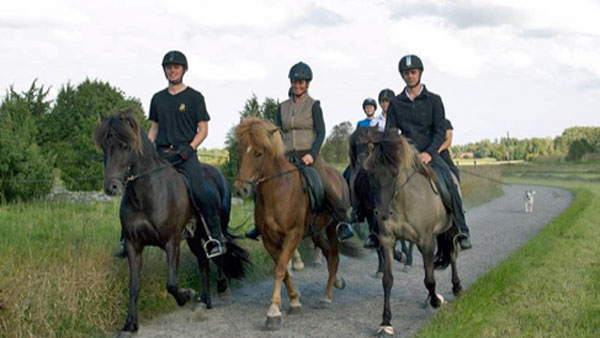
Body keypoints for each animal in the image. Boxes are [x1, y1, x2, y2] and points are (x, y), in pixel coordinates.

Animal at [95, 111, 250, 336]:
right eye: (104, 146)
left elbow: (171, 283)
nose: (111, 187)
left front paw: (186, 296)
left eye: (125, 146)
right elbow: (134, 286)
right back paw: (204, 300)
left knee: (219, 250)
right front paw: (130, 324)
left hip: (214, 227)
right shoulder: (133, 245)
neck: (146, 194)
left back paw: (221, 288)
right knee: (203, 262)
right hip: (194, 238)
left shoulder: (171, 242)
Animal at [231, 117, 364, 332]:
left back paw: (326, 297)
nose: (240, 190)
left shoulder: (293, 234)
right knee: (327, 253)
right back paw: (337, 281)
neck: (277, 190)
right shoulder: (269, 239)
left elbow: (279, 269)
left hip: (332, 228)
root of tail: (337, 175)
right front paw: (294, 301)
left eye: (259, 153)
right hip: (317, 232)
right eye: (240, 150)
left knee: (334, 257)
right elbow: (283, 271)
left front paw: (273, 313)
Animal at [364, 131, 462, 336]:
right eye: (371, 173)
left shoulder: (426, 240)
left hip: (449, 230)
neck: (402, 200)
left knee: (451, 254)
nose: (382, 213)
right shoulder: (387, 241)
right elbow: (387, 280)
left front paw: (436, 301)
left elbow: (429, 279)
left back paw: (456, 287)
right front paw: (386, 322)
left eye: (395, 173)